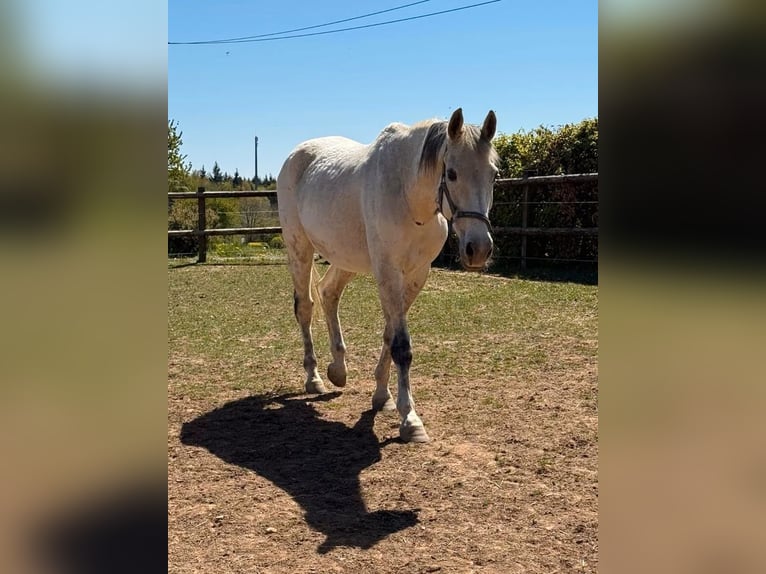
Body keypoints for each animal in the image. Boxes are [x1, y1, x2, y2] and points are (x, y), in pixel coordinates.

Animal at [277, 108, 499, 442]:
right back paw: (314, 377)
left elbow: (389, 334)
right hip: (298, 249)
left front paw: (382, 396)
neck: (410, 199)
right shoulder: (388, 272)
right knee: (305, 308)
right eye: (451, 173)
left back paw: (338, 371)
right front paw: (410, 419)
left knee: (329, 293)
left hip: (347, 259)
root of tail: (295, 156)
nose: (479, 249)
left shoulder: (417, 274)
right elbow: (401, 346)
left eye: (493, 174)